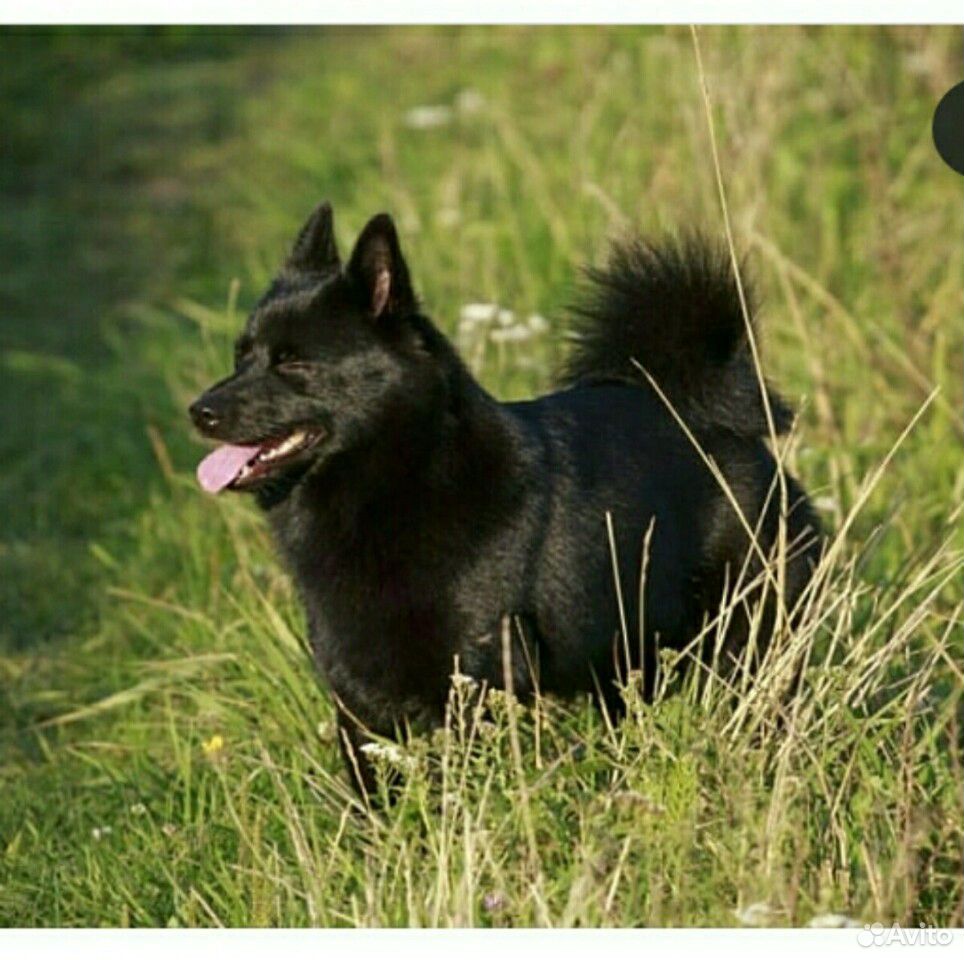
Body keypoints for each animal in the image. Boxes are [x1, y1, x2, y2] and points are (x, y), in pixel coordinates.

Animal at [190, 202, 820, 796]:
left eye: (293, 361)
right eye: (241, 356)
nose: (200, 411)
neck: (401, 479)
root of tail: (714, 423)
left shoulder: (477, 678)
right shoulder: (357, 696)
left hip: (746, 642)